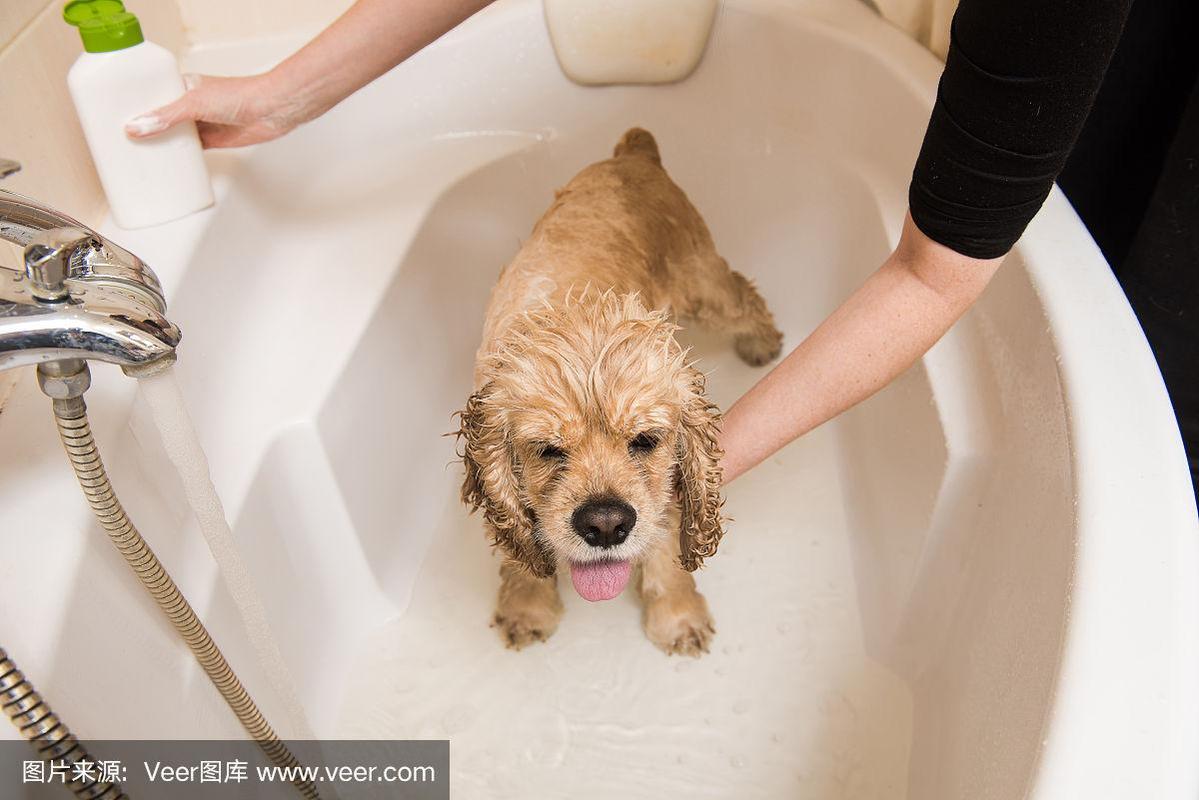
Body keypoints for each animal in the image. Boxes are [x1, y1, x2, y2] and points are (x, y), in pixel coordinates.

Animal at [453, 128, 781, 657]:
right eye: (547, 450)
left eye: (645, 441)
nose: (605, 524)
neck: (572, 314)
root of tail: (635, 154)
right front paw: (527, 608)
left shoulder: (663, 486)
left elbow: (664, 541)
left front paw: (678, 617)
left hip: (704, 284)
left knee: (743, 296)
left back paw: (761, 343)